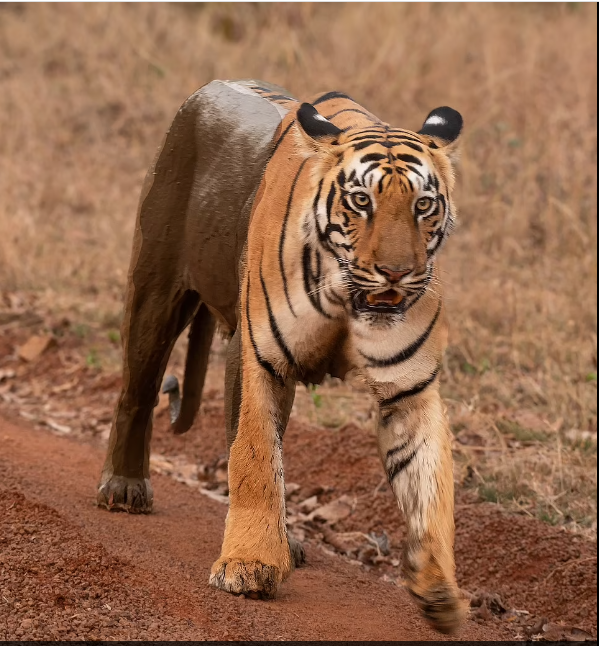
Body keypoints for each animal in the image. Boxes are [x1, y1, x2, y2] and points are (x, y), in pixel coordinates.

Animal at [96, 81, 468, 636]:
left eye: (424, 205)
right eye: (361, 201)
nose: (397, 273)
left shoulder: (410, 385)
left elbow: (429, 483)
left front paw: (438, 590)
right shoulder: (257, 355)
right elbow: (255, 458)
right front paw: (249, 565)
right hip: (155, 288)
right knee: (136, 391)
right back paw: (123, 487)